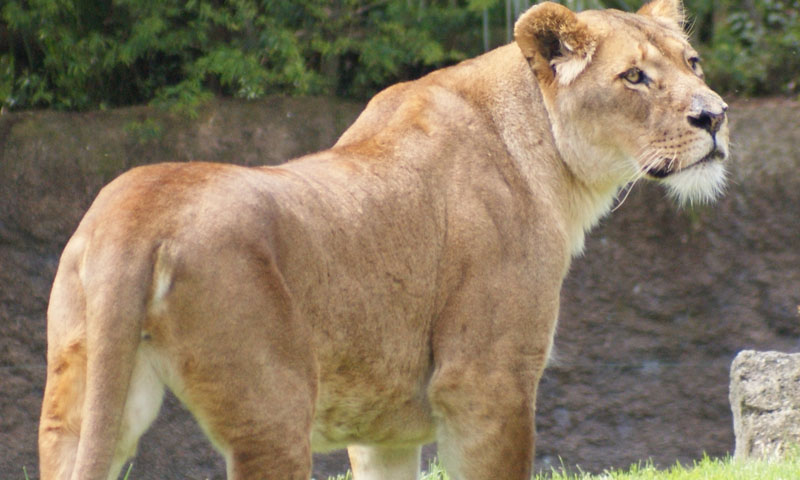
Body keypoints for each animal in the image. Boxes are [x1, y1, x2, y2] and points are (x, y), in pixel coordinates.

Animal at [38, 0, 728, 478]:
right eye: (634, 77)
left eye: (692, 64)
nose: (716, 115)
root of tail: (137, 206)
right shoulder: (486, 380)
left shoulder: (383, 432)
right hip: (272, 410)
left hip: (81, 407)